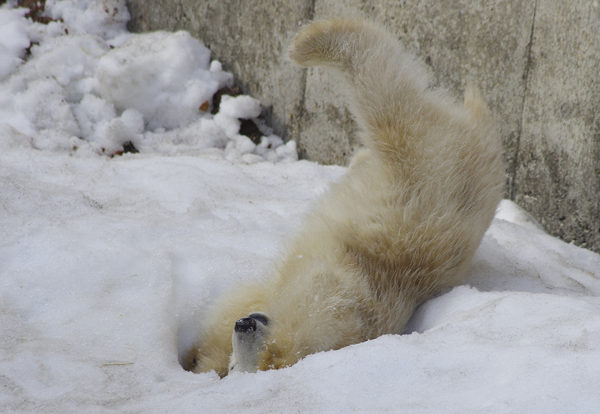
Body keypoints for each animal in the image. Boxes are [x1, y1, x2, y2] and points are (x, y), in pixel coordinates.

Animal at [184, 17, 506, 376]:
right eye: (234, 360)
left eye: (244, 361)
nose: (245, 324)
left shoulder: (326, 300)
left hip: (421, 159)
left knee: (381, 91)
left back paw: (311, 43)